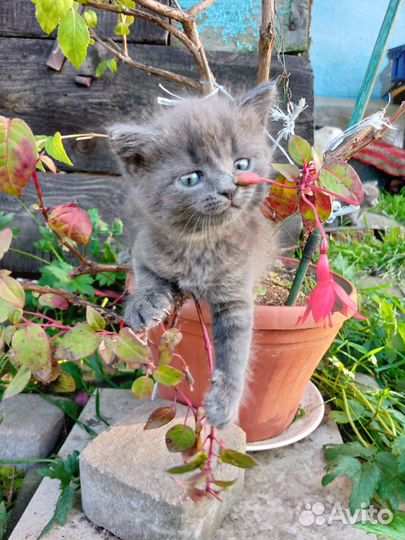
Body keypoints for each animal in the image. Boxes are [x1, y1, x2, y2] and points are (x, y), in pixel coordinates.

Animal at [108, 83, 278, 430]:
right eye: (191, 179)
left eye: (241, 164)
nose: (229, 188)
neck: (200, 245)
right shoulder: (145, 247)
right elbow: (146, 276)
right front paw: (144, 306)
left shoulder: (236, 292)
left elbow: (236, 349)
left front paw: (223, 405)